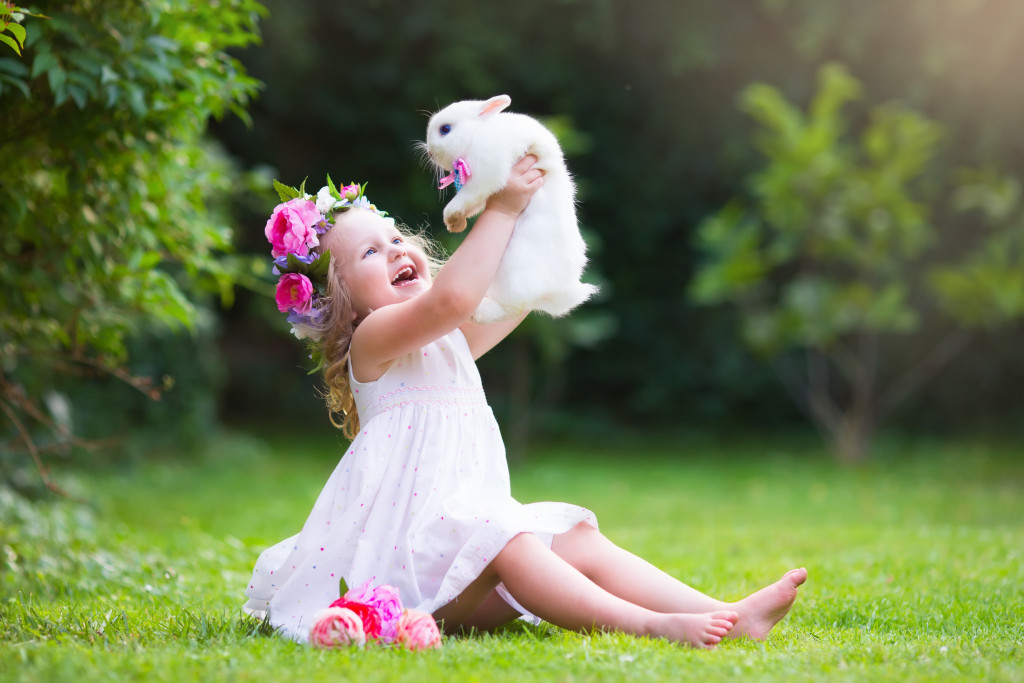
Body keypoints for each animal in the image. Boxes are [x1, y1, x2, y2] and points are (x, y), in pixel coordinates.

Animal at [423, 94, 598, 325]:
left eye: (445, 129)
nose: (430, 152)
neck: (477, 133)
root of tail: (559, 292)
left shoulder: (486, 172)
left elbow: (464, 198)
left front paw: (451, 218)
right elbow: (473, 204)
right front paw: (457, 225)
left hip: (513, 277)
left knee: (512, 309)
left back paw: (478, 312)